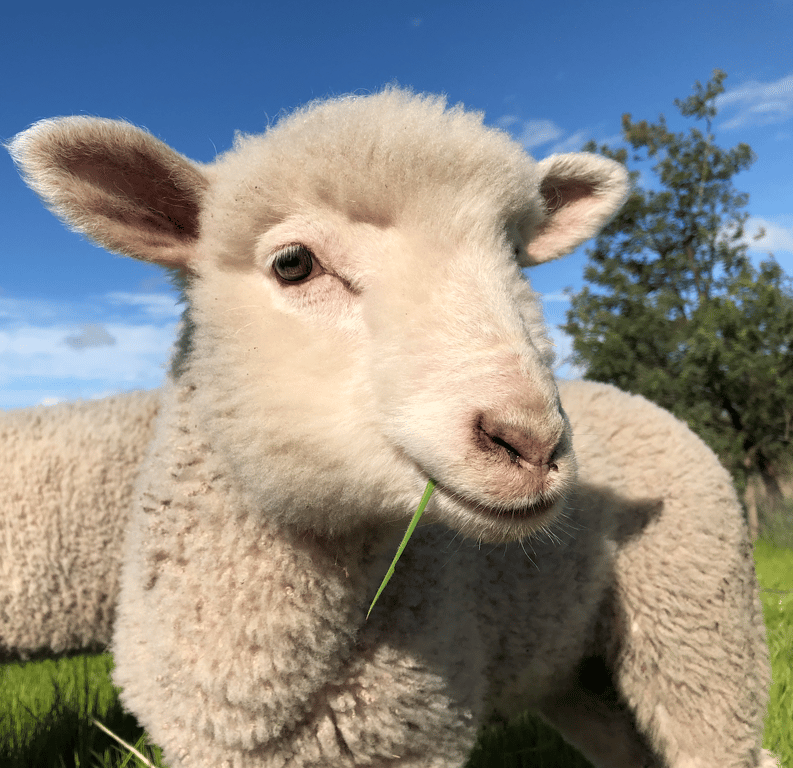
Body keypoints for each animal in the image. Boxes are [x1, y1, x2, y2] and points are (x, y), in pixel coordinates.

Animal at [6, 88, 776, 768]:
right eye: (293, 264)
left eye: (515, 258)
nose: (531, 440)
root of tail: (635, 398)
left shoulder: (415, 737)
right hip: (575, 669)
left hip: (700, 630)